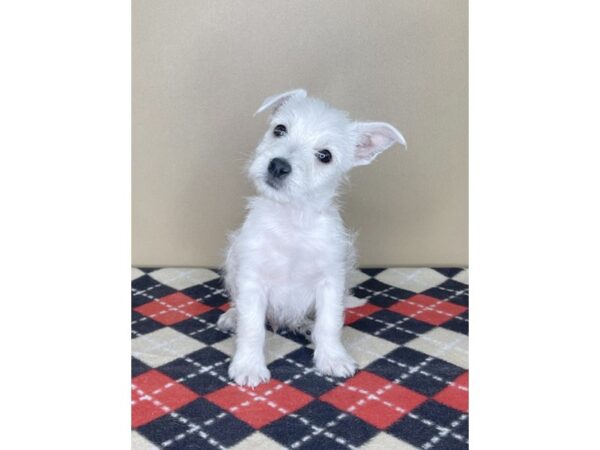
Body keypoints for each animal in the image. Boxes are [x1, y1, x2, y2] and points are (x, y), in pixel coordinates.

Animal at [218, 89, 406, 386]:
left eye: (325, 155)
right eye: (279, 130)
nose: (278, 166)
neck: (292, 220)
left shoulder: (330, 282)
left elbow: (329, 324)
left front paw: (332, 358)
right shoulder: (252, 280)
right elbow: (252, 328)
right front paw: (248, 365)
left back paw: (305, 325)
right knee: (239, 306)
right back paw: (231, 316)